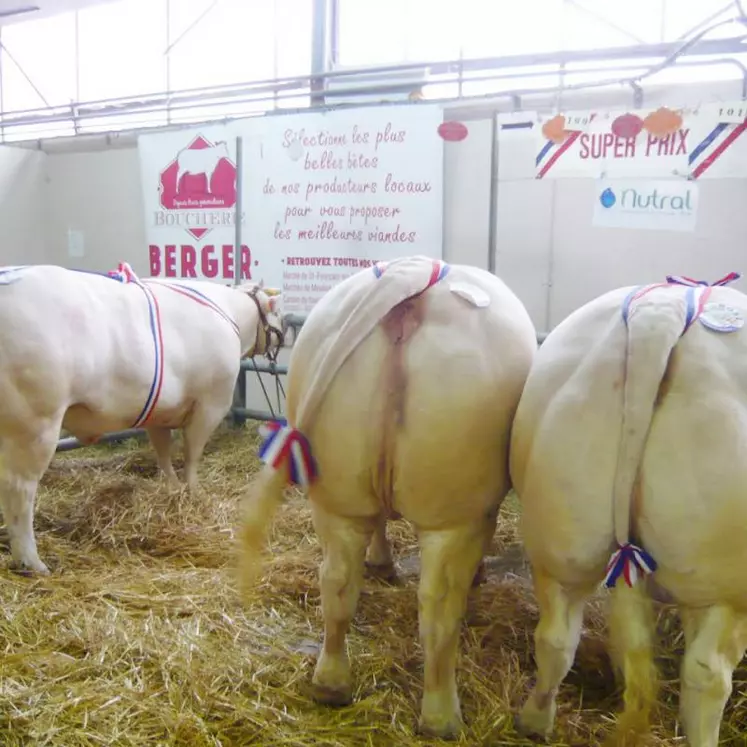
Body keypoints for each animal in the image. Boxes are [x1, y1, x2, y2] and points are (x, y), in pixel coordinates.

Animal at [0, 264, 282, 580]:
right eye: (278, 313)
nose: (284, 334)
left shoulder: (159, 410)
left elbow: (163, 452)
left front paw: (172, 488)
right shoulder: (211, 404)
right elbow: (192, 453)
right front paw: (193, 491)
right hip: (36, 421)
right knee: (18, 490)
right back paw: (32, 562)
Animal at [240, 256, 536, 736]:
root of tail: (412, 273)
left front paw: (380, 562)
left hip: (336, 494)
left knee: (337, 580)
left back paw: (331, 683)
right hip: (453, 511)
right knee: (438, 606)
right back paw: (441, 716)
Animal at [512, 274, 747, 747]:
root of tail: (658, 315)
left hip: (565, 540)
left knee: (556, 638)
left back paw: (534, 722)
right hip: (726, 583)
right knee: (708, 677)